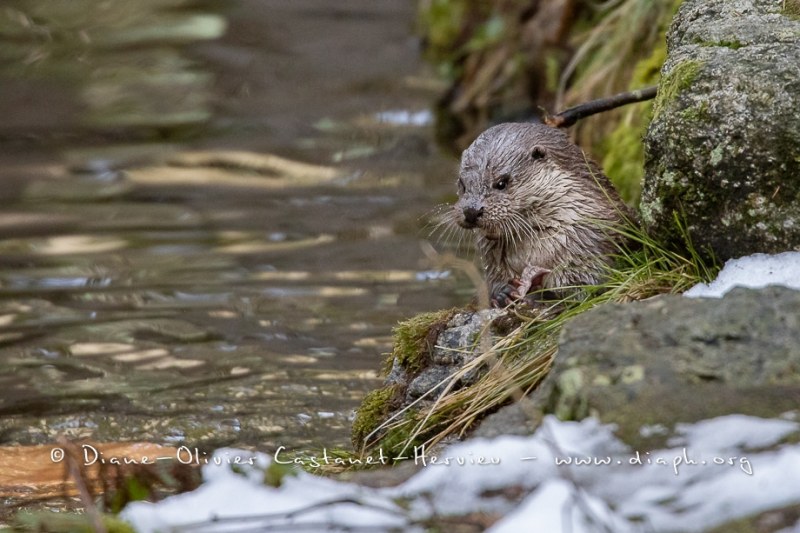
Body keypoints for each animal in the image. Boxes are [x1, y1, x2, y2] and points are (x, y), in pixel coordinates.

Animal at [446, 120, 628, 304]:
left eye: (501, 183)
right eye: (463, 184)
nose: (471, 211)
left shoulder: (589, 244)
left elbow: (584, 288)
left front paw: (544, 295)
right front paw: (502, 291)